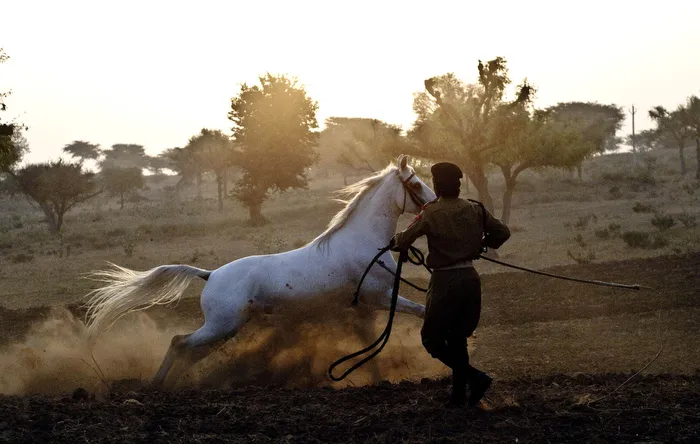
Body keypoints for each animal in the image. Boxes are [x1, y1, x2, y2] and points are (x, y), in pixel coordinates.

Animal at [85, 154, 434, 386]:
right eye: (416, 183)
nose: (434, 203)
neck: (363, 242)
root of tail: (209, 274)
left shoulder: (364, 306)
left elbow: (372, 336)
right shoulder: (379, 296)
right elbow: (418, 311)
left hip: (226, 328)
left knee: (190, 351)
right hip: (222, 325)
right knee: (178, 342)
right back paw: (156, 386)